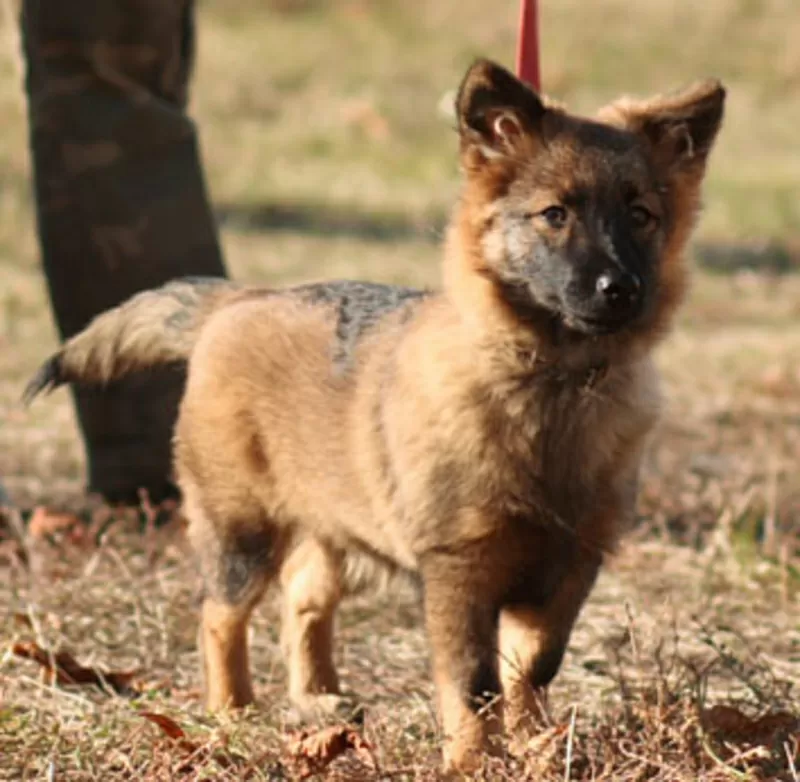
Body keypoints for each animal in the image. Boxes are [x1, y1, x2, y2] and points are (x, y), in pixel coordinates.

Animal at [25, 59, 724, 772]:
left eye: (641, 216)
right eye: (554, 215)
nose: (621, 291)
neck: (551, 385)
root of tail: (238, 300)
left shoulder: (571, 566)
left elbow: (532, 668)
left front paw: (536, 746)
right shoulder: (457, 569)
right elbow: (472, 683)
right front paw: (473, 761)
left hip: (341, 526)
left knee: (304, 597)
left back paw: (319, 698)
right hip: (242, 529)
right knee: (220, 614)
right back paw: (231, 711)